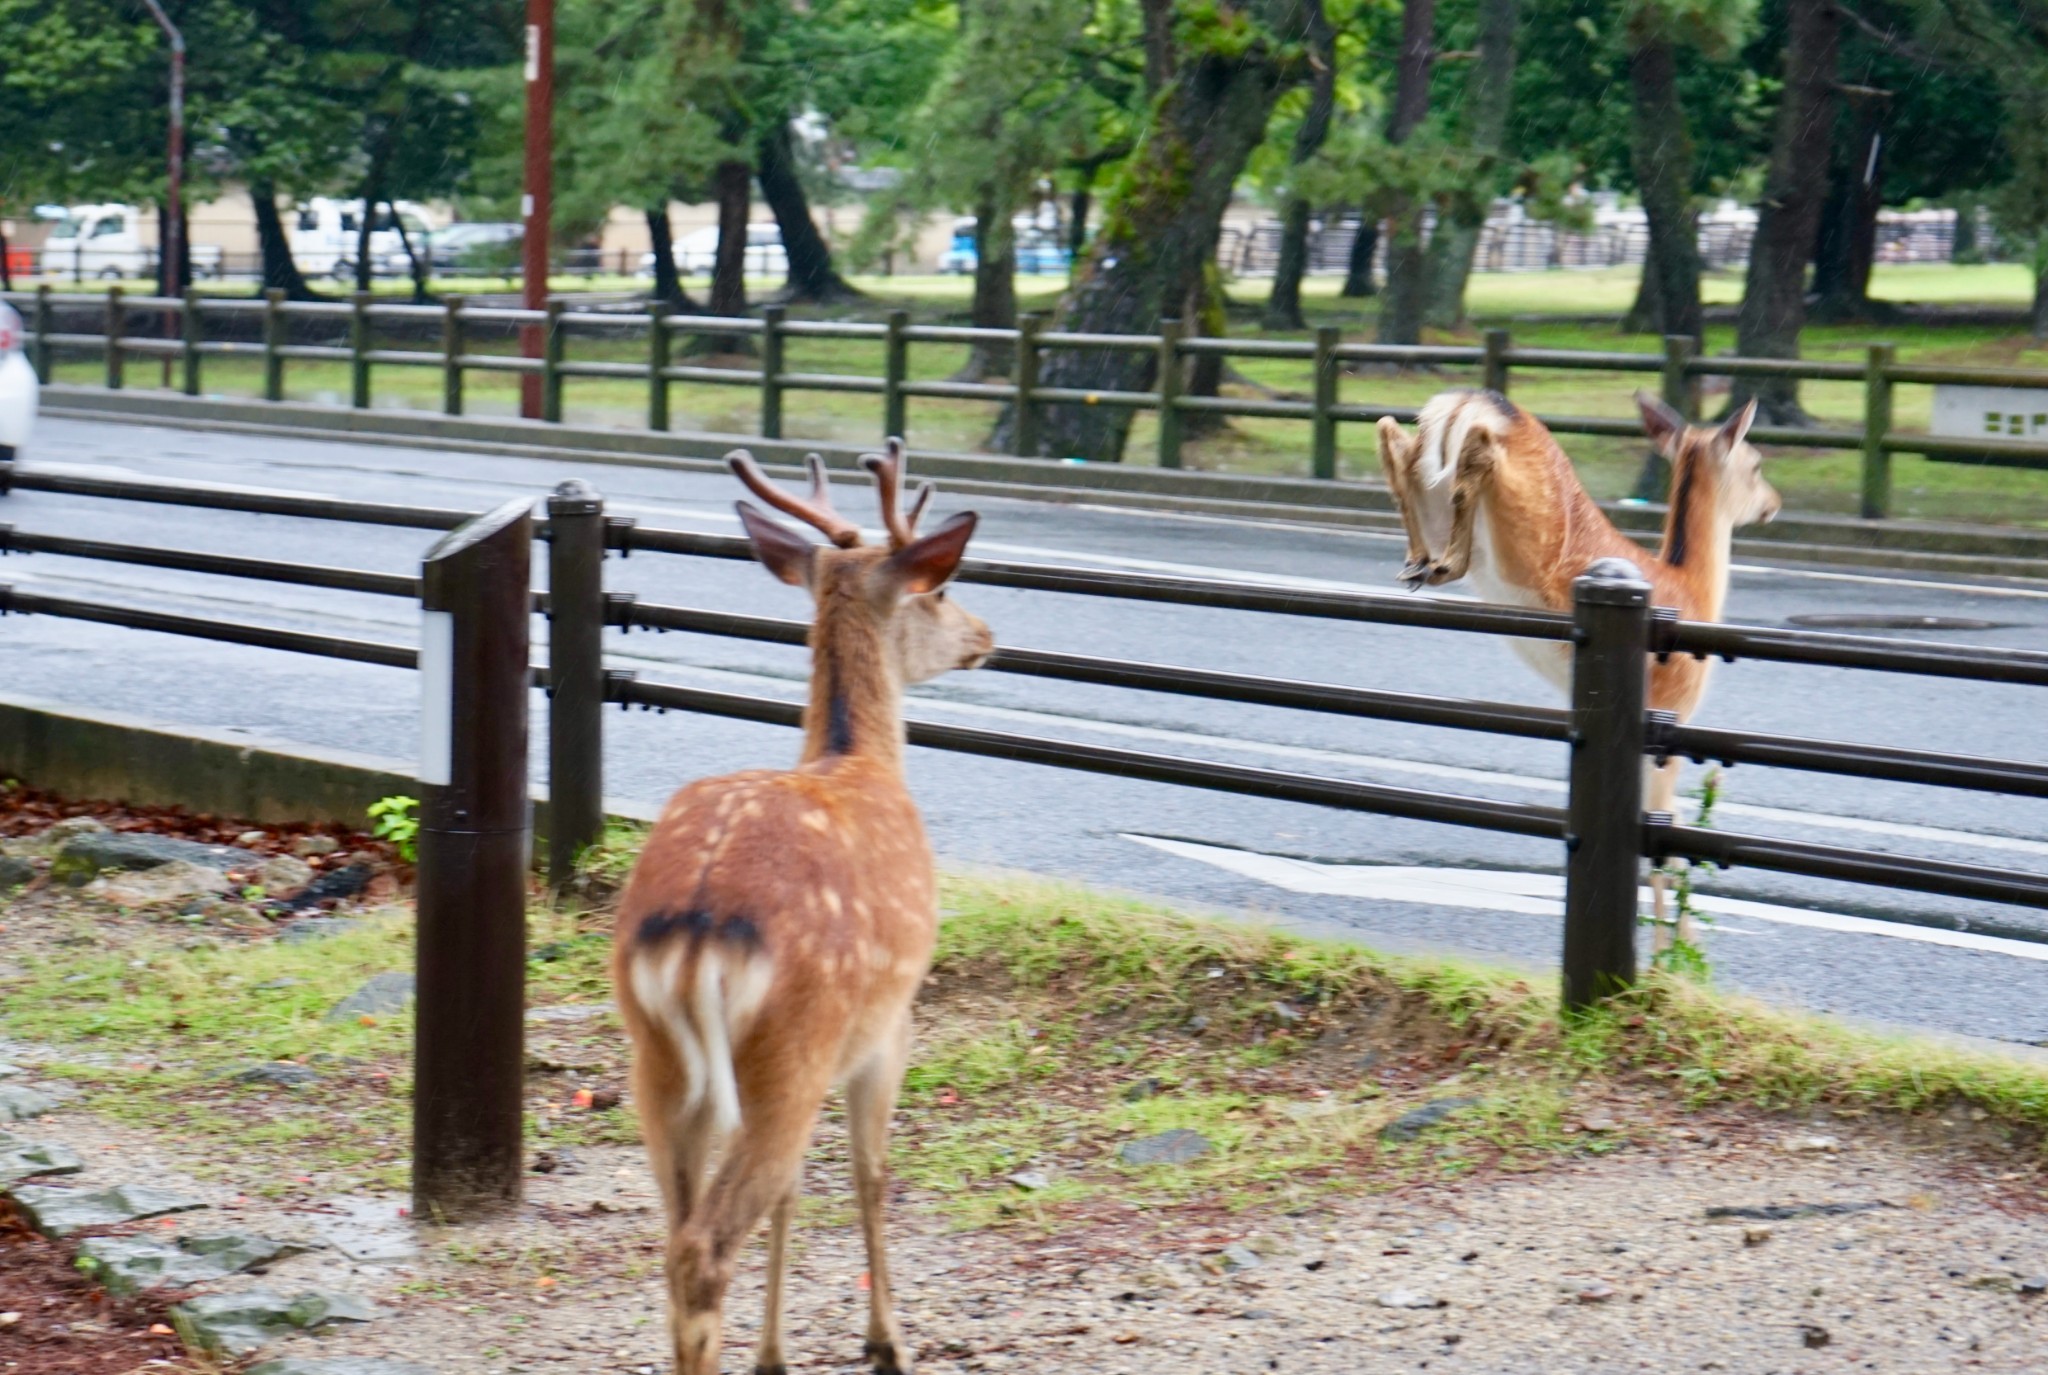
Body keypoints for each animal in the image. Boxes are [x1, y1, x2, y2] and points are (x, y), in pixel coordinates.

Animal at [606, 440, 991, 1375]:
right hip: (795, 1041)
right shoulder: (891, 1020)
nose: (986, 636)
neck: (853, 756)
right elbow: (869, 1172)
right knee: (705, 1245)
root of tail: (698, 930)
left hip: (657, 1057)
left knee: (679, 1234)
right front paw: (886, 1341)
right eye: (938, 590)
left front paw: (775, 1351)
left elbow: (792, 1193)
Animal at [1376, 387, 1777, 946]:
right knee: (1472, 457)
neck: (1693, 592)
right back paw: (1443, 560)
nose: (1773, 505)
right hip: (1521, 521)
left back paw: (1417, 561)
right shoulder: (1670, 718)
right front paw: (1672, 957)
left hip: (1429, 479)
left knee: (1391, 432)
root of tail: (1471, 403)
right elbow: (1667, 838)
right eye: (1756, 462)